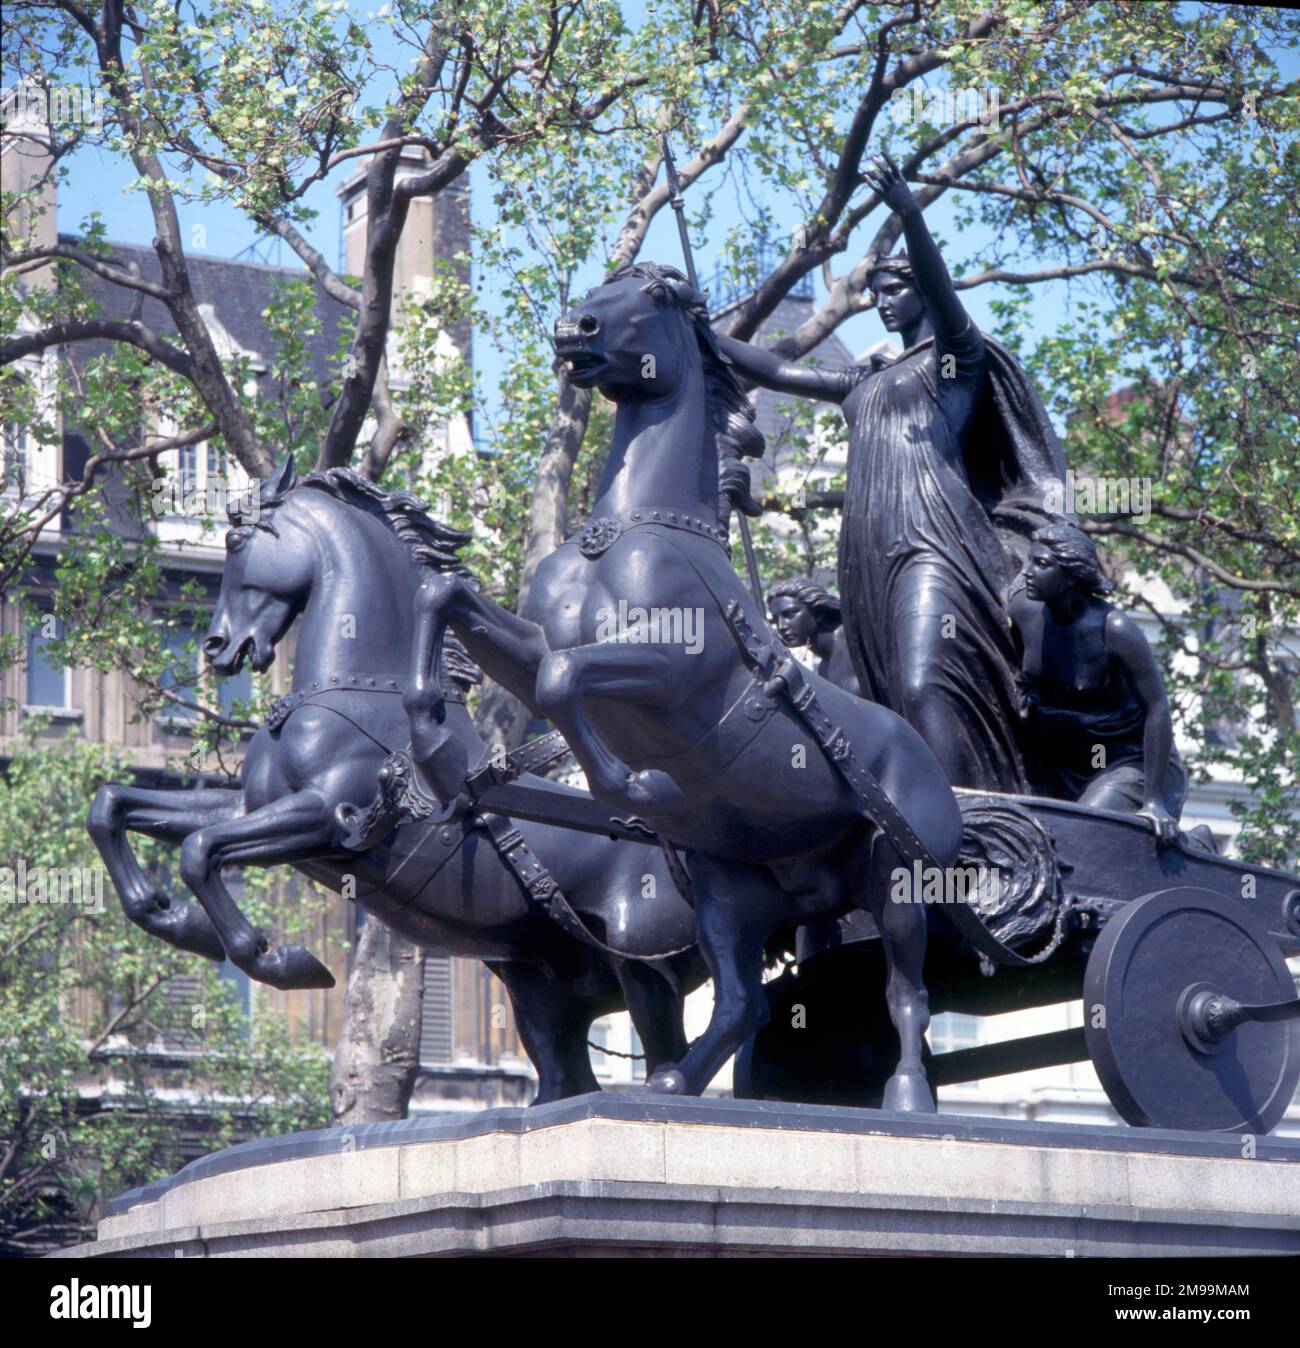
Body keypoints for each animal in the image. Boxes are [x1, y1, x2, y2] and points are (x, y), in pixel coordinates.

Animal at [407, 260, 965, 1105]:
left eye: (652, 296)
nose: (573, 329)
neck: (634, 531)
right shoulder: (532, 649)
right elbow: (452, 600)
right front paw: (434, 741)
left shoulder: (673, 667)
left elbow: (568, 679)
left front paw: (637, 787)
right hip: (731, 888)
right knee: (744, 1002)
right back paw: (673, 1082)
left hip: (892, 873)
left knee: (908, 991)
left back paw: (906, 1095)